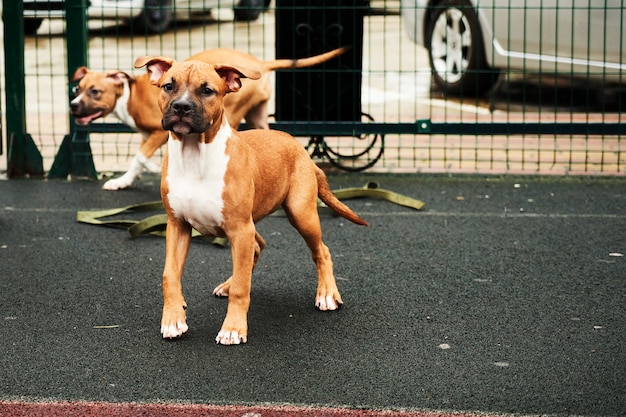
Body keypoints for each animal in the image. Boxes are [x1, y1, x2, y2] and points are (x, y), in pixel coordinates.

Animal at [72, 46, 352, 189]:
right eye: (77, 89)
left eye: (95, 91)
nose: (73, 106)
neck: (129, 95)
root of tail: (259, 64)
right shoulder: (151, 135)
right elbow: (141, 158)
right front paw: (131, 178)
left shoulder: (159, 132)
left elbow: (139, 157)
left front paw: (135, 175)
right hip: (258, 117)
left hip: (234, 115)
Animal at [132, 57, 366, 346]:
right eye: (168, 86)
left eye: (207, 90)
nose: (181, 106)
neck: (194, 154)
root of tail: (300, 148)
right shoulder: (177, 226)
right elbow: (169, 275)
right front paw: (173, 319)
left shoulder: (239, 228)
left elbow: (243, 288)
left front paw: (233, 328)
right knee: (257, 247)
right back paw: (228, 283)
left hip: (300, 214)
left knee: (321, 251)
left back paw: (326, 294)